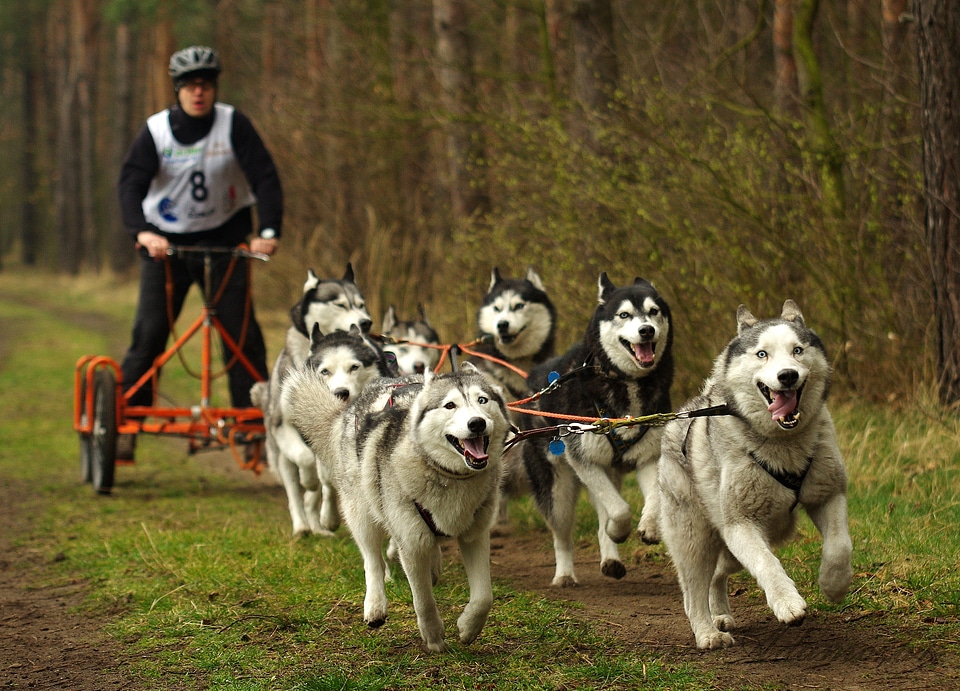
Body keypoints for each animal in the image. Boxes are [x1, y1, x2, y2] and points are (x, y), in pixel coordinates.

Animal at [251, 264, 376, 536]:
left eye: (361, 304)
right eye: (340, 305)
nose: (366, 322)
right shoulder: (283, 426)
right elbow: (305, 462)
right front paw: (308, 481)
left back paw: (318, 526)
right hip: (281, 455)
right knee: (294, 492)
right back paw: (301, 526)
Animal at [284, 364, 510, 652]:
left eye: (482, 400)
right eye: (450, 405)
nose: (477, 423)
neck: (447, 476)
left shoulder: (475, 535)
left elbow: (483, 597)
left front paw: (469, 628)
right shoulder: (411, 544)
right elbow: (422, 600)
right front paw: (433, 637)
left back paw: (433, 567)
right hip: (362, 512)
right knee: (373, 560)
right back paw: (375, 605)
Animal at [520, 274, 672, 588]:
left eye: (654, 312)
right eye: (624, 314)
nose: (647, 330)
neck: (625, 383)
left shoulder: (649, 457)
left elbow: (650, 498)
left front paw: (649, 527)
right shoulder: (585, 460)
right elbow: (620, 510)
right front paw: (619, 530)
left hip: (606, 473)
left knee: (604, 514)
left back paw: (611, 559)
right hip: (559, 489)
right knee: (562, 535)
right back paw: (565, 574)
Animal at [660, 302, 856, 648]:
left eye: (797, 350)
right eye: (762, 354)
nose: (787, 375)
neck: (783, 445)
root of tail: (683, 414)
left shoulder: (828, 494)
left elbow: (839, 546)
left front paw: (834, 584)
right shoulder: (741, 524)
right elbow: (767, 563)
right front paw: (787, 603)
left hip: (730, 548)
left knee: (717, 575)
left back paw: (720, 613)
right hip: (695, 538)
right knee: (693, 591)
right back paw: (707, 632)